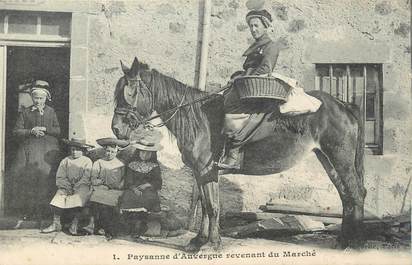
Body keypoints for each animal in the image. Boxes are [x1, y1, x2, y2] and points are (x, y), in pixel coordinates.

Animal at [111, 56, 366, 251]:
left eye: (130, 93)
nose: (116, 129)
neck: (199, 118)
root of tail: (343, 105)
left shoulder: (207, 171)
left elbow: (213, 207)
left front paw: (212, 244)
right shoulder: (202, 174)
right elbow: (206, 206)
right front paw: (198, 241)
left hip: (340, 159)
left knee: (356, 195)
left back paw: (354, 243)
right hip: (328, 160)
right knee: (346, 197)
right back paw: (343, 240)